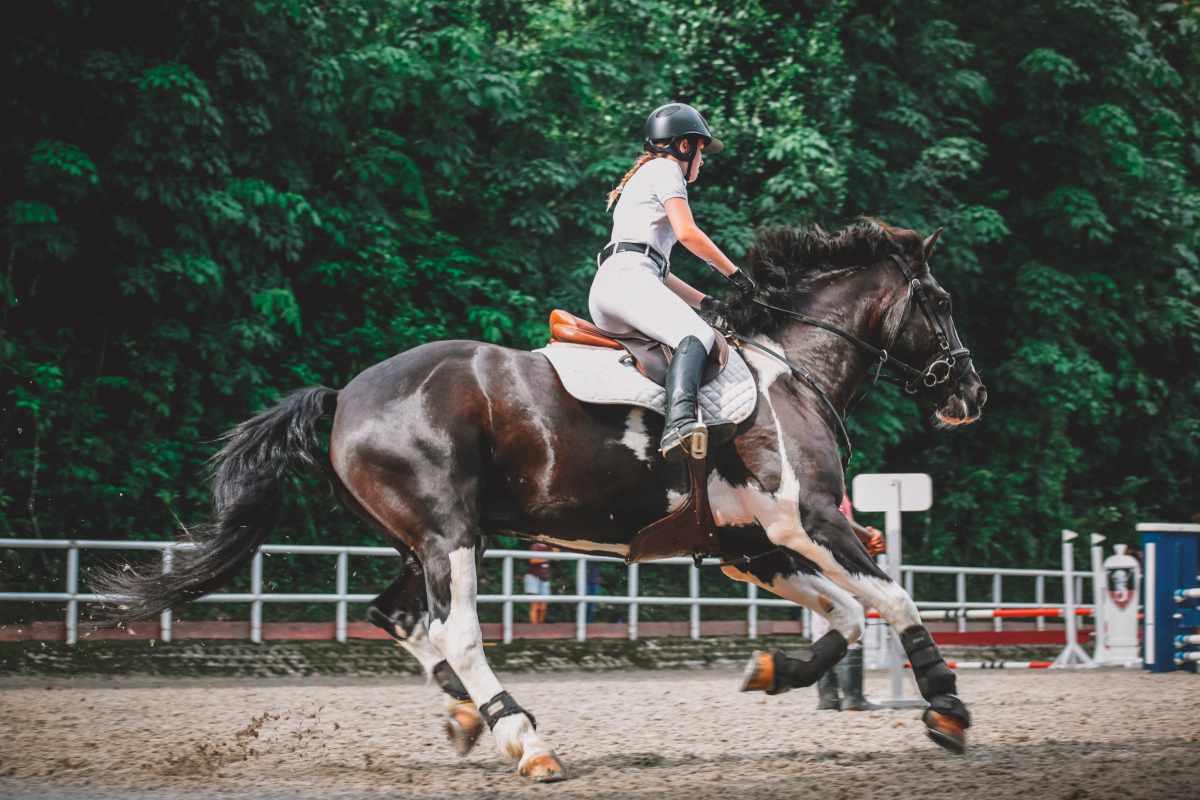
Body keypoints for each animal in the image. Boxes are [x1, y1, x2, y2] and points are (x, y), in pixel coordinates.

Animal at [98, 219, 984, 782]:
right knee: (455, 633)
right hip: (451, 535)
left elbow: (846, 616)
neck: (791, 368)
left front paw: (775, 669)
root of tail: (346, 393)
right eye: (940, 304)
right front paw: (945, 706)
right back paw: (524, 740)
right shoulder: (810, 520)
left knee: (397, 618)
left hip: (424, 541)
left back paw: (471, 717)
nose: (971, 395)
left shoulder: (754, 547)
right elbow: (894, 598)